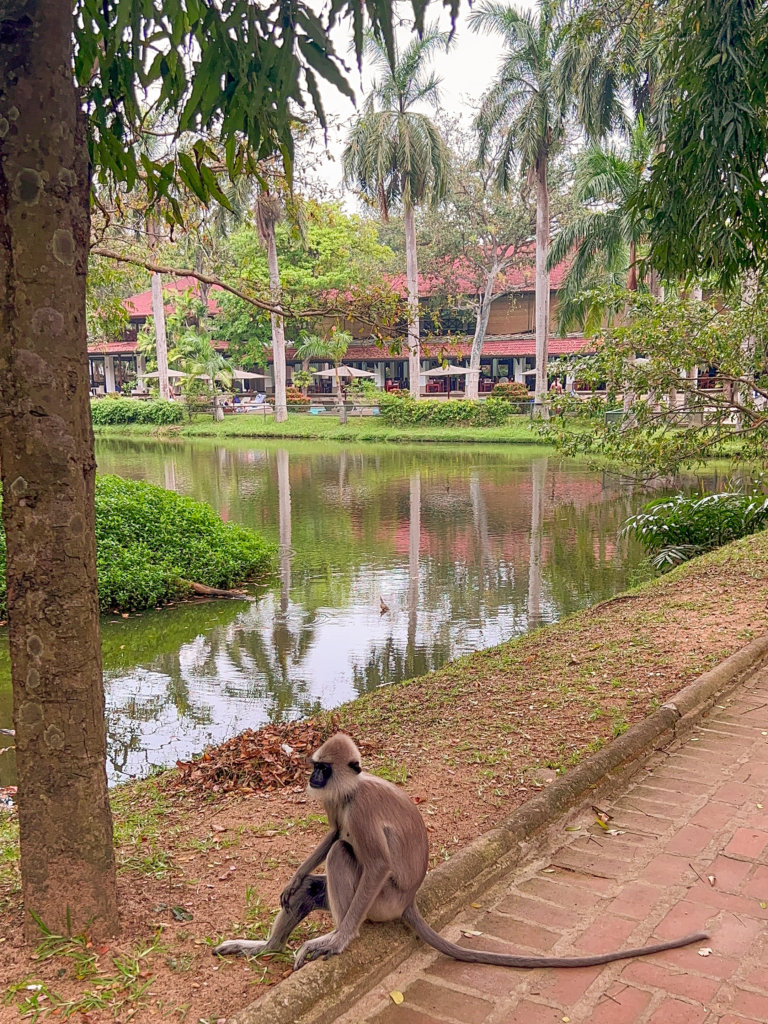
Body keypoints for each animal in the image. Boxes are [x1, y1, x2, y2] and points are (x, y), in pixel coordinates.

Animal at [214, 737, 708, 966]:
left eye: (322, 769)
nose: (312, 779)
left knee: (346, 860)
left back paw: (335, 936)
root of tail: (410, 900)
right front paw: (295, 876)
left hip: (381, 904)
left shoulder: (361, 809)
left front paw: (338, 940)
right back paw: (263, 948)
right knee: (322, 873)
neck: (349, 790)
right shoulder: (339, 805)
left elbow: (371, 860)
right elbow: (333, 835)